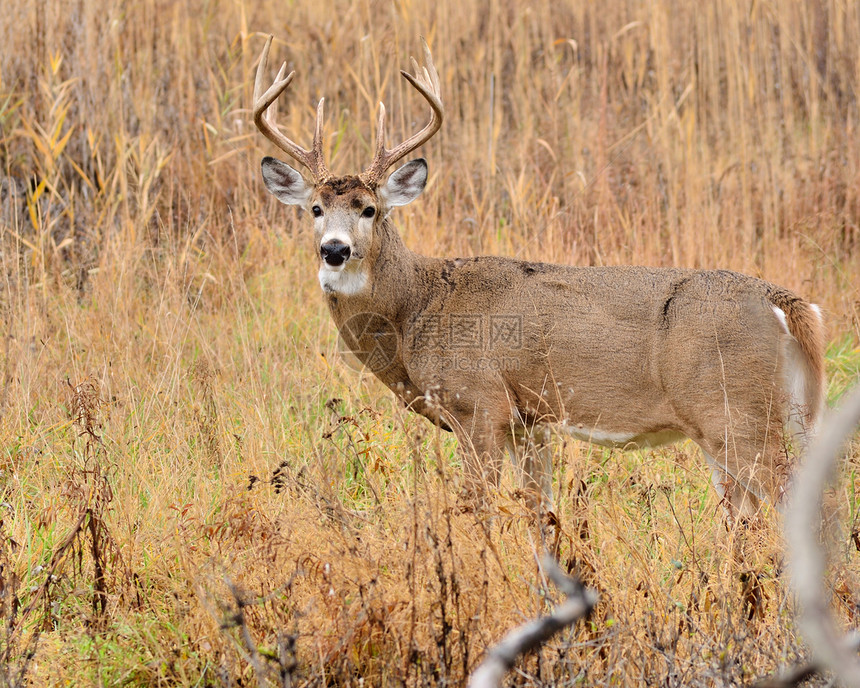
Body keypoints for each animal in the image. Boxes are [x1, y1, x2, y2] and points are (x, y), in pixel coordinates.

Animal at [254, 35, 828, 520]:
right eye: (314, 209)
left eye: (370, 209)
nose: (334, 250)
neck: (419, 306)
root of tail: (781, 300)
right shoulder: (528, 422)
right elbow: (540, 510)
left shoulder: (479, 404)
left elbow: (478, 507)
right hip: (763, 420)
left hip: (736, 413)